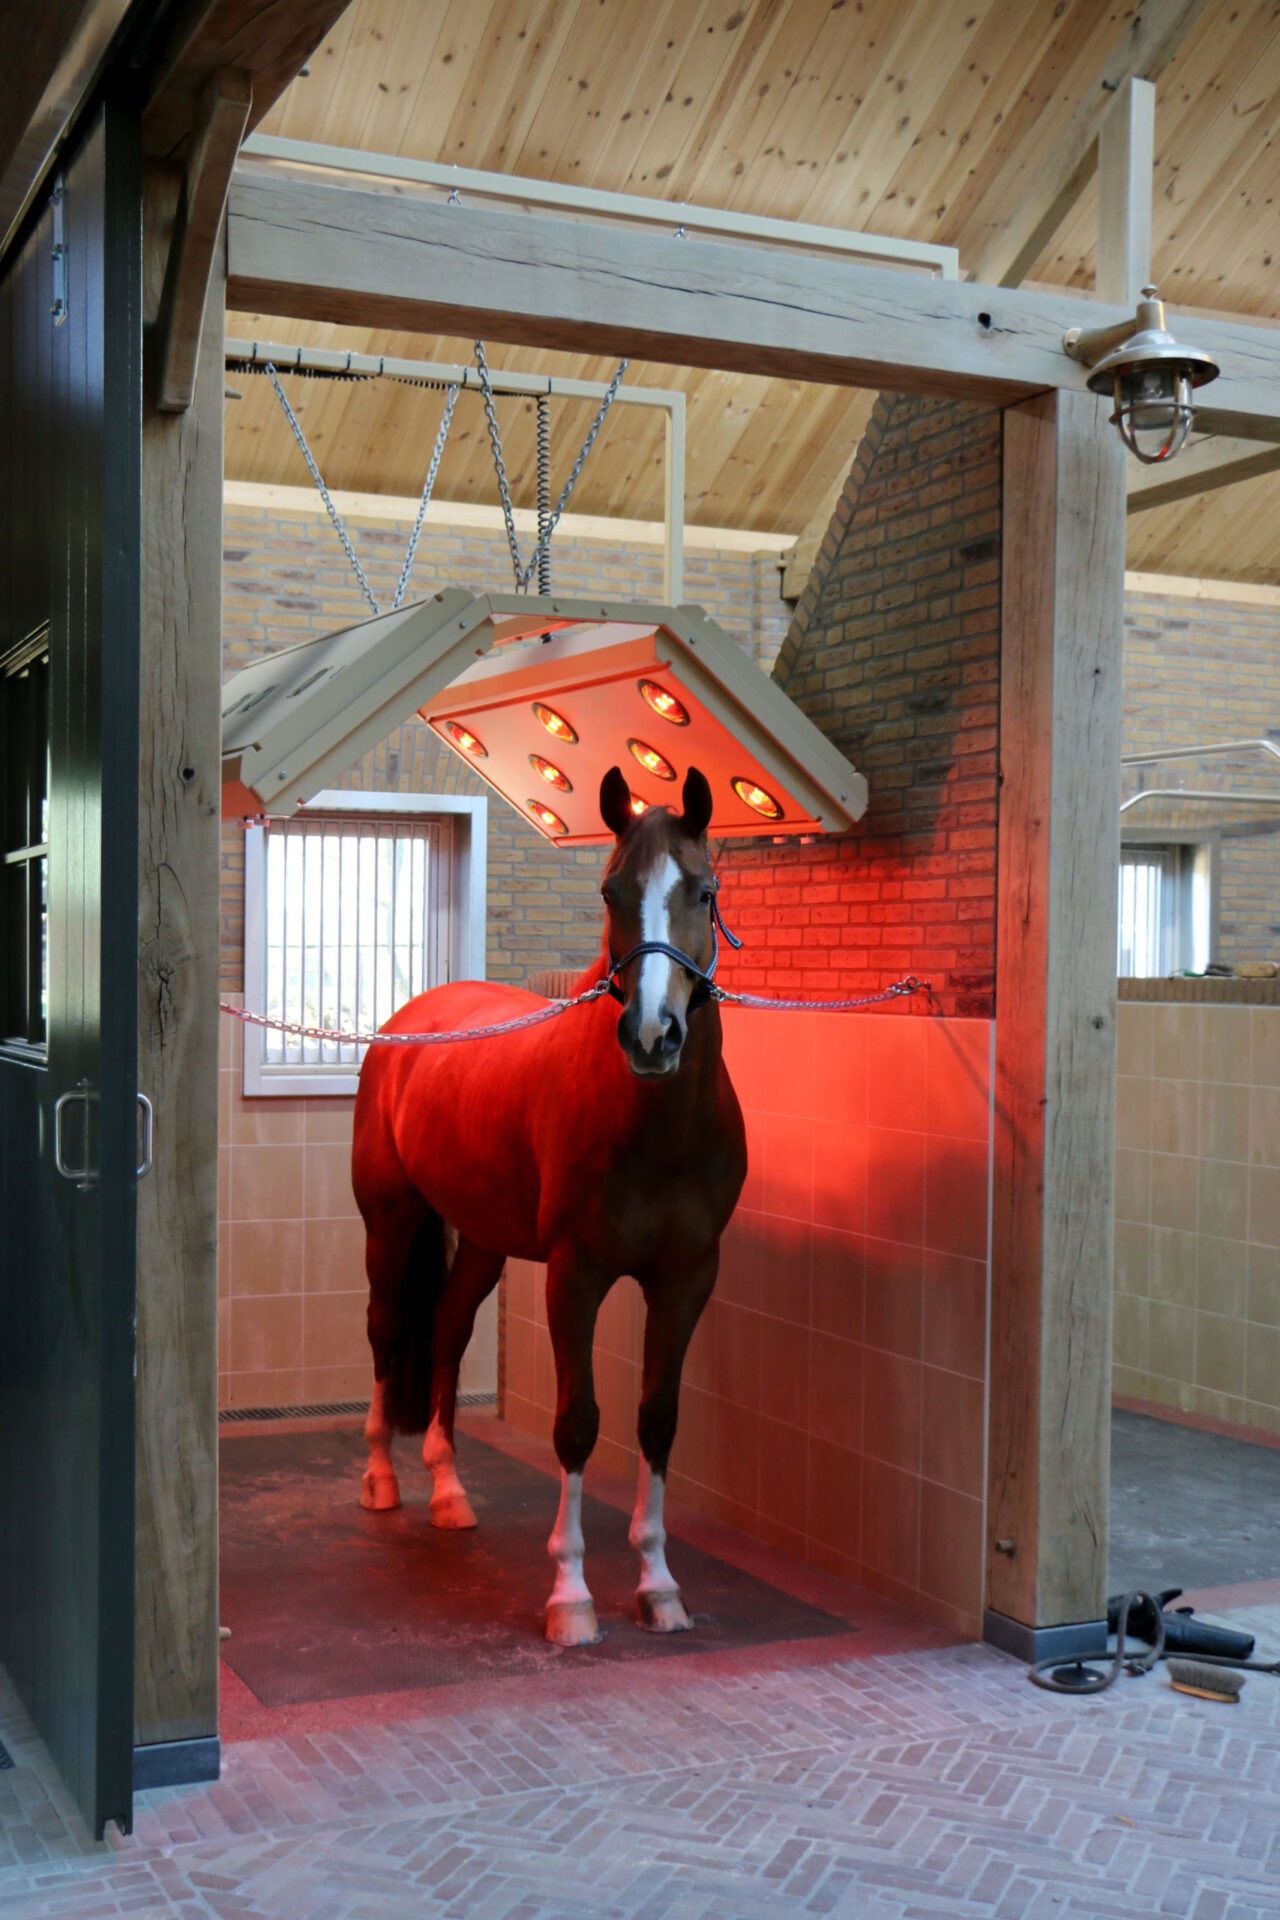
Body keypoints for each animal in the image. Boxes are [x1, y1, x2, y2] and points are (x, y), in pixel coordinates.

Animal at [351, 764, 748, 1646]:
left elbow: (656, 1418)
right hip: (390, 1223)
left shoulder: (689, 1279)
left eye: (703, 892)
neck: (654, 1122)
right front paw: (570, 1595)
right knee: (388, 1331)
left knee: (447, 1334)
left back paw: (449, 1492)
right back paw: (381, 1480)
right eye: (609, 891)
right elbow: (577, 1422)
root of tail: (411, 1021)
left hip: (485, 1241)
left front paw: (659, 1585)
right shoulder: (576, 1275)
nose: (652, 1036)